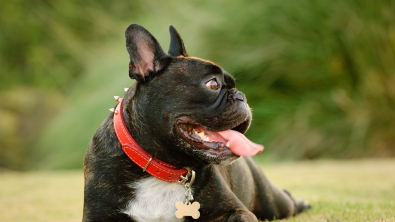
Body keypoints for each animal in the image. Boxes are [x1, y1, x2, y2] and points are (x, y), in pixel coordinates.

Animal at [83, 24, 310, 222]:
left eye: (234, 85)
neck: (162, 169)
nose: (241, 96)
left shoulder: (236, 210)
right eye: (213, 84)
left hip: (271, 203)